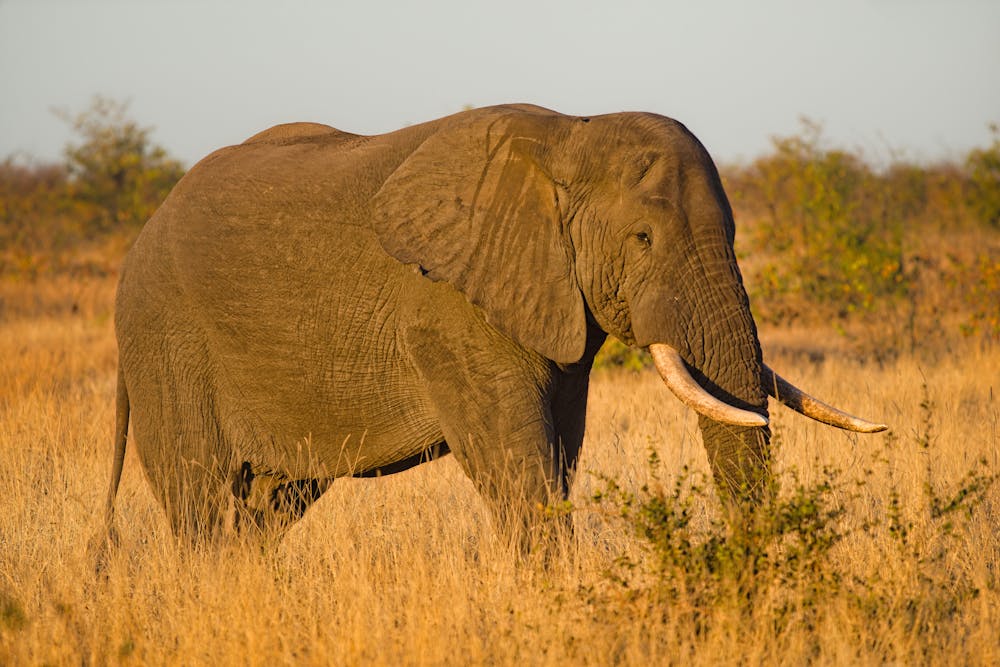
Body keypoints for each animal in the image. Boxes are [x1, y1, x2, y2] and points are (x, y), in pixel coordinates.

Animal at [99, 104, 884, 552]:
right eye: (642, 239)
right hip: (164, 338)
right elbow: (515, 460)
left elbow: (558, 448)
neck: (569, 136)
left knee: (268, 509)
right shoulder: (448, 308)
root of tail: (140, 236)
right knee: (202, 502)